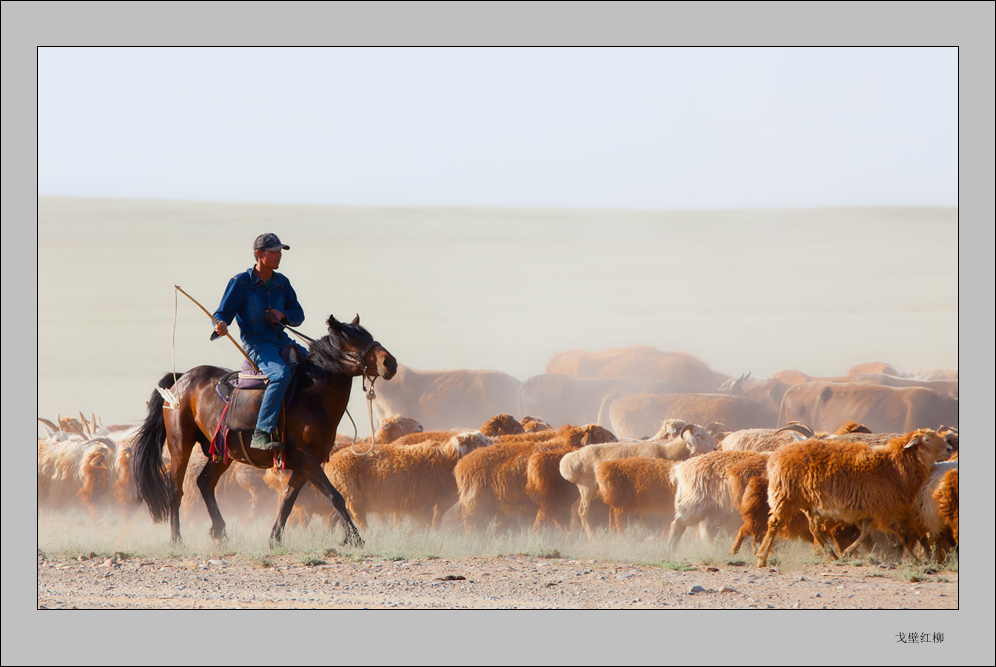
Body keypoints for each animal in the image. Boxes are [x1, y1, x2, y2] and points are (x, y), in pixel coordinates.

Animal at [133, 314, 396, 548]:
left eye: (368, 336)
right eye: (351, 340)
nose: (389, 363)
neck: (312, 398)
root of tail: (181, 379)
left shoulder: (305, 464)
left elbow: (287, 501)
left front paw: (274, 539)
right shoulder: (307, 459)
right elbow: (335, 496)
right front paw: (355, 539)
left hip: (222, 452)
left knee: (205, 482)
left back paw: (220, 532)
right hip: (180, 444)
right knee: (175, 490)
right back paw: (177, 539)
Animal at [756, 428, 956, 568]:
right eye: (927, 439)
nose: (949, 448)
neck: (893, 466)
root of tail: (777, 455)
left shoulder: (871, 511)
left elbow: (866, 532)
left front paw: (846, 553)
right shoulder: (882, 508)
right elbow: (899, 533)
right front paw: (915, 558)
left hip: (809, 503)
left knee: (815, 530)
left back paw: (831, 556)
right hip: (786, 496)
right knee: (774, 523)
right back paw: (762, 558)